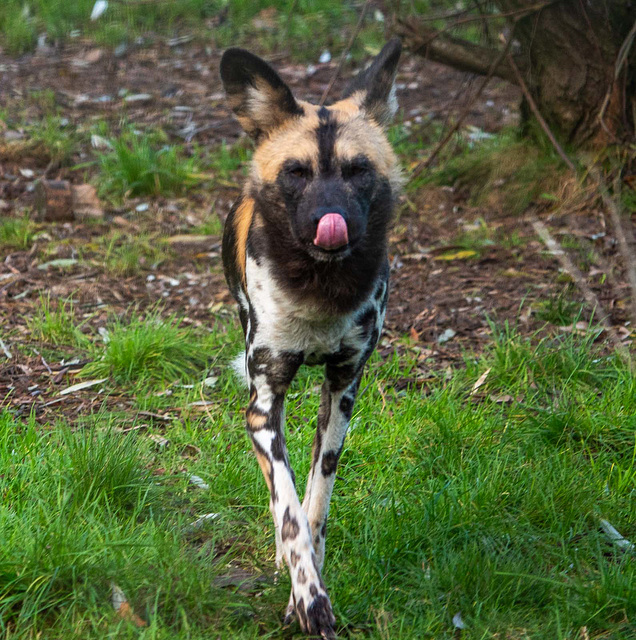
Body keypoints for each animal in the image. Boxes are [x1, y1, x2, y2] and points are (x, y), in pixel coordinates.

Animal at [219, 38, 402, 636]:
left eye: (357, 170)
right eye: (296, 172)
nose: (331, 218)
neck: (320, 289)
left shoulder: (343, 390)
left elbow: (315, 505)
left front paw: (310, 582)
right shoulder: (262, 407)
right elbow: (290, 511)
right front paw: (308, 597)